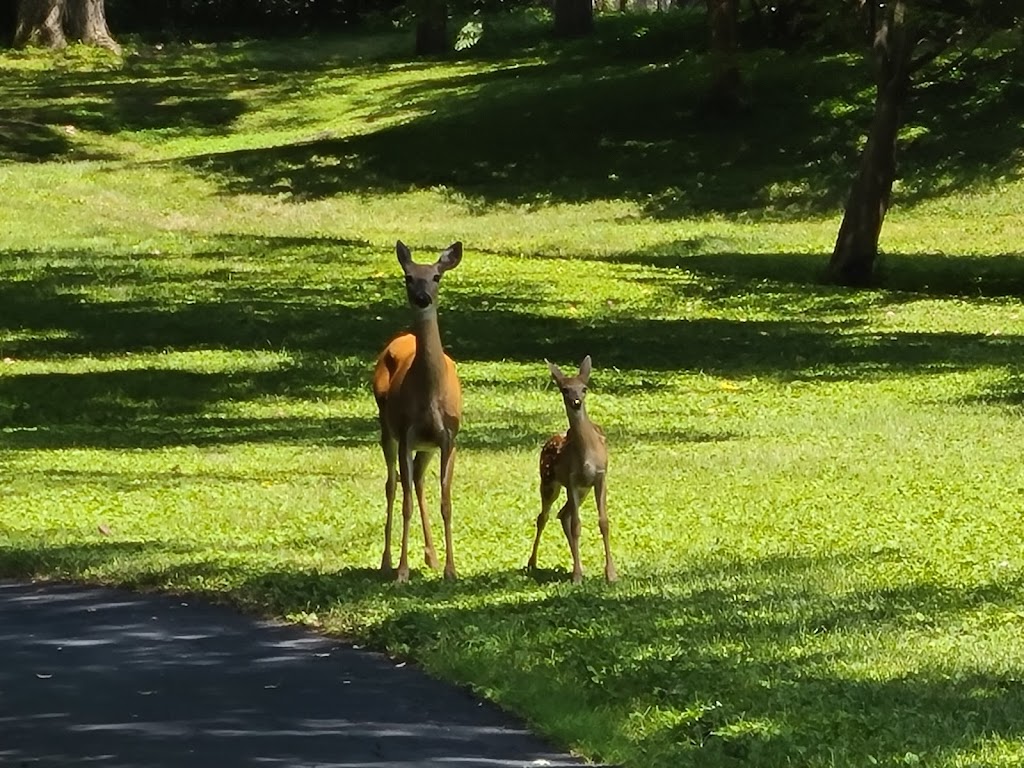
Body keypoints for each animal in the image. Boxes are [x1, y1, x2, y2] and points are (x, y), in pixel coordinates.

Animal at [372, 240, 464, 581]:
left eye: (436, 276)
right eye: (408, 277)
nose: (422, 298)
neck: (430, 395)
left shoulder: (449, 437)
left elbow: (446, 502)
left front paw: (450, 569)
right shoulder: (407, 432)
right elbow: (406, 503)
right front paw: (401, 571)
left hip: (427, 446)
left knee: (418, 480)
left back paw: (432, 557)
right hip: (386, 428)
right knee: (393, 483)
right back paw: (386, 562)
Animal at [528, 358, 614, 585]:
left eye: (584, 388)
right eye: (564, 389)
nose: (576, 402)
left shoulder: (600, 477)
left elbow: (604, 522)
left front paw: (611, 574)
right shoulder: (572, 480)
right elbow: (577, 525)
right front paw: (576, 576)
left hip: (583, 490)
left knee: (562, 514)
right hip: (548, 481)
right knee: (544, 516)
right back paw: (532, 563)